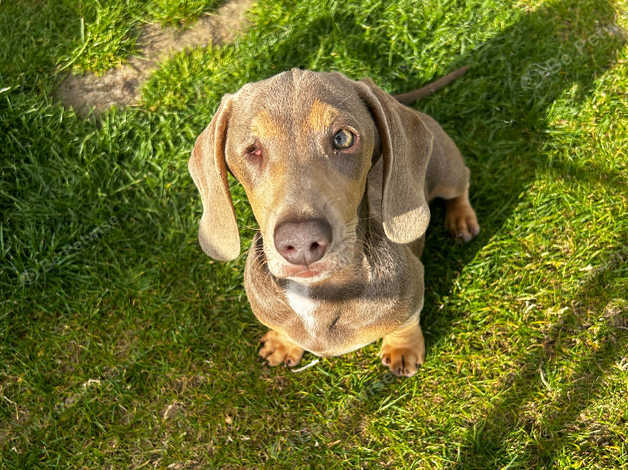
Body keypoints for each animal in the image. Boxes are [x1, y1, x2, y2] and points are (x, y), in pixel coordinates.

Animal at [189, 66, 478, 376]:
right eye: (252, 150)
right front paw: (282, 343)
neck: (320, 295)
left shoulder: (413, 287)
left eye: (342, 138)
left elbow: (407, 321)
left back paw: (462, 219)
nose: (301, 242)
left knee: (463, 181)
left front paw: (403, 349)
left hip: (446, 169)